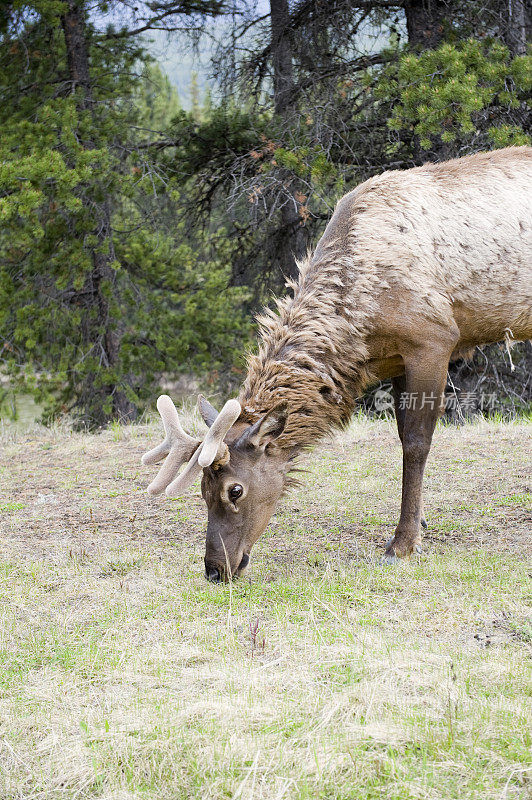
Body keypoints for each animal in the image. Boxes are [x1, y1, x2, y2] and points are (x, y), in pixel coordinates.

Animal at [142, 147, 532, 580]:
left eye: (235, 489)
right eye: (202, 489)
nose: (214, 569)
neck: (358, 325)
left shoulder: (433, 340)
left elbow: (416, 443)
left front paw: (403, 543)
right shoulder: (396, 359)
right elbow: (402, 437)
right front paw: (419, 522)